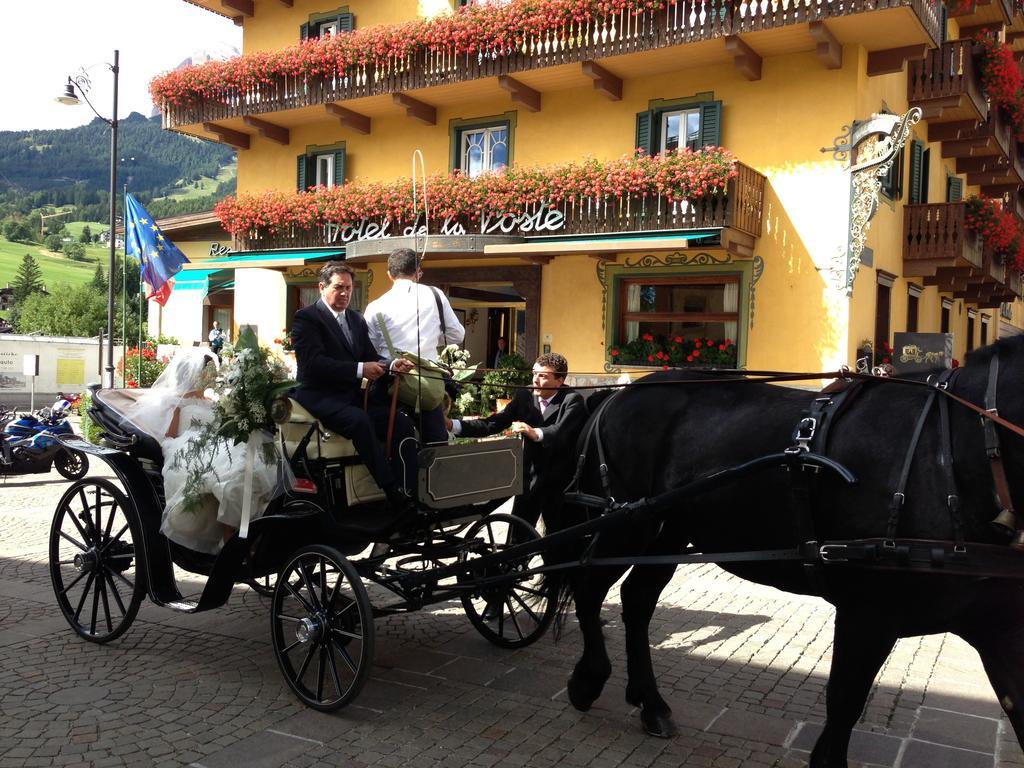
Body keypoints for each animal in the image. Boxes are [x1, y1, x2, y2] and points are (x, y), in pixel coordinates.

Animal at [557, 337, 1024, 768]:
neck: (956, 452)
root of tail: (615, 395)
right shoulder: (867, 613)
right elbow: (845, 700)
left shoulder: (997, 626)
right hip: (625, 527)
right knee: (589, 591)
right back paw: (589, 679)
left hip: (668, 534)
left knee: (637, 600)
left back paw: (650, 702)